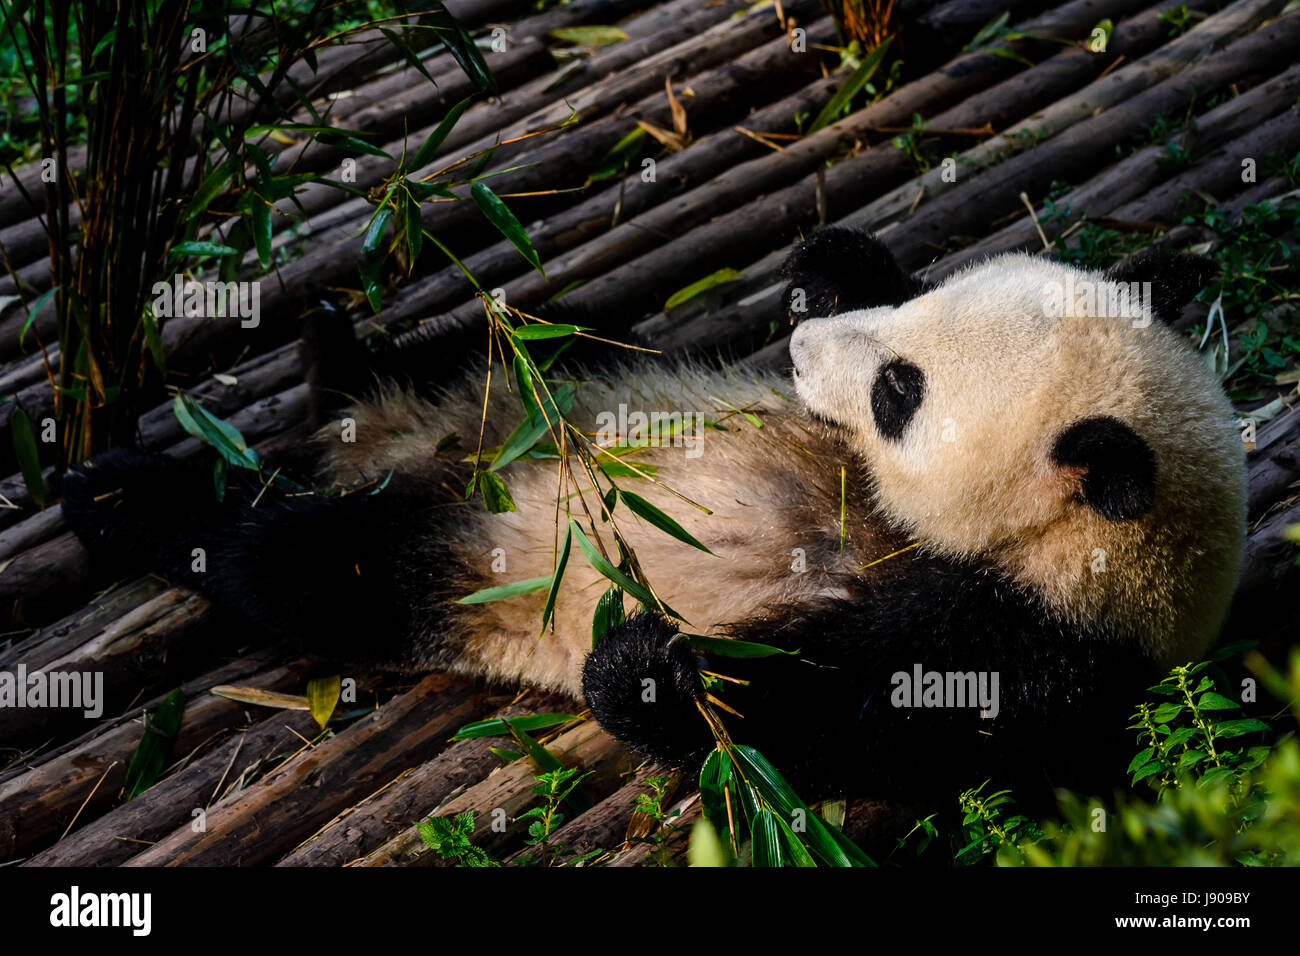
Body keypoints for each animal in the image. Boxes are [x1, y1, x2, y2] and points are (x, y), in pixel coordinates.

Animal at [63, 231, 1248, 806]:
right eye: (915, 315)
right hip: (581, 372)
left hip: (461, 561)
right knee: (506, 339)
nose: (800, 352)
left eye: (898, 391)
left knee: (310, 562)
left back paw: (128, 494)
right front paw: (829, 268)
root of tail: (416, 446)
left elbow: (813, 717)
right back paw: (334, 350)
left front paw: (644, 663)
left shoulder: (1020, 646)